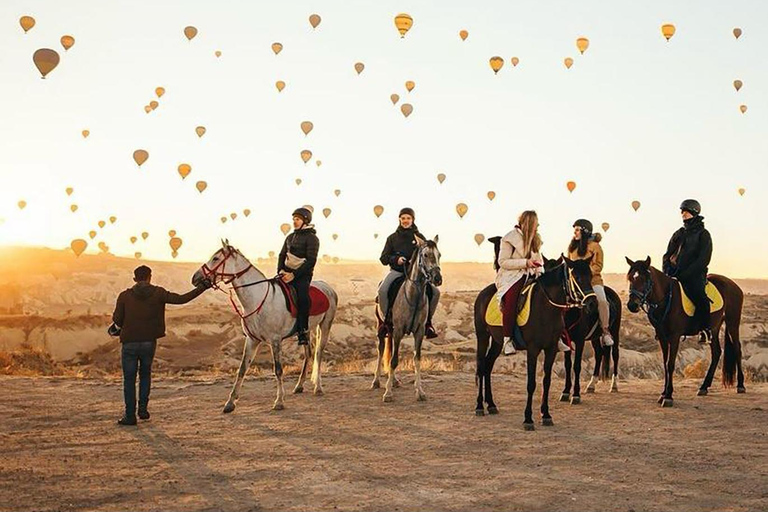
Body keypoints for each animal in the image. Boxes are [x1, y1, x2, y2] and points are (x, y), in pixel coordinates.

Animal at [191, 240, 336, 412]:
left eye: (216, 258)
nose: (195, 278)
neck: (258, 299)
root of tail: (327, 287)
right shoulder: (252, 340)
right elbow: (242, 369)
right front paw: (230, 403)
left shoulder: (275, 341)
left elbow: (278, 370)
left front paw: (279, 401)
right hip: (305, 331)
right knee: (309, 354)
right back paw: (299, 386)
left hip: (325, 326)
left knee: (318, 354)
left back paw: (318, 388)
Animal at [370, 234, 440, 402]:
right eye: (425, 255)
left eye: (439, 255)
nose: (437, 278)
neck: (413, 296)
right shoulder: (399, 331)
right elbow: (394, 360)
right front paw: (388, 393)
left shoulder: (419, 332)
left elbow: (417, 359)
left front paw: (420, 391)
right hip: (382, 327)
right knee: (381, 350)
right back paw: (376, 381)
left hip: (391, 330)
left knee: (389, 352)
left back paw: (394, 381)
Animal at [474, 254, 592, 430]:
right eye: (576, 277)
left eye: (591, 276)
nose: (592, 303)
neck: (546, 308)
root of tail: (482, 294)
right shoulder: (533, 350)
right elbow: (531, 384)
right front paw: (528, 419)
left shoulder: (551, 349)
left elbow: (546, 382)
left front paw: (546, 415)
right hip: (482, 336)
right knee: (482, 366)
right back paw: (480, 406)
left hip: (496, 341)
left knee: (488, 366)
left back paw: (491, 404)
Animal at [624, 256, 744, 408]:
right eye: (630, 278)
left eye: (644, 279)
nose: (632, 305)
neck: (666, 299)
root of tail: (734, 285)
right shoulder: (663, 337)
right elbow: (665, 364)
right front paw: (663, 394)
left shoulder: (674, 336)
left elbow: (670, 364)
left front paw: (668, 396)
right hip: (714, 328)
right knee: (716, 352)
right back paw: (704, 387)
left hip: (732, 322)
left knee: (737, 349)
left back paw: (740, 385)